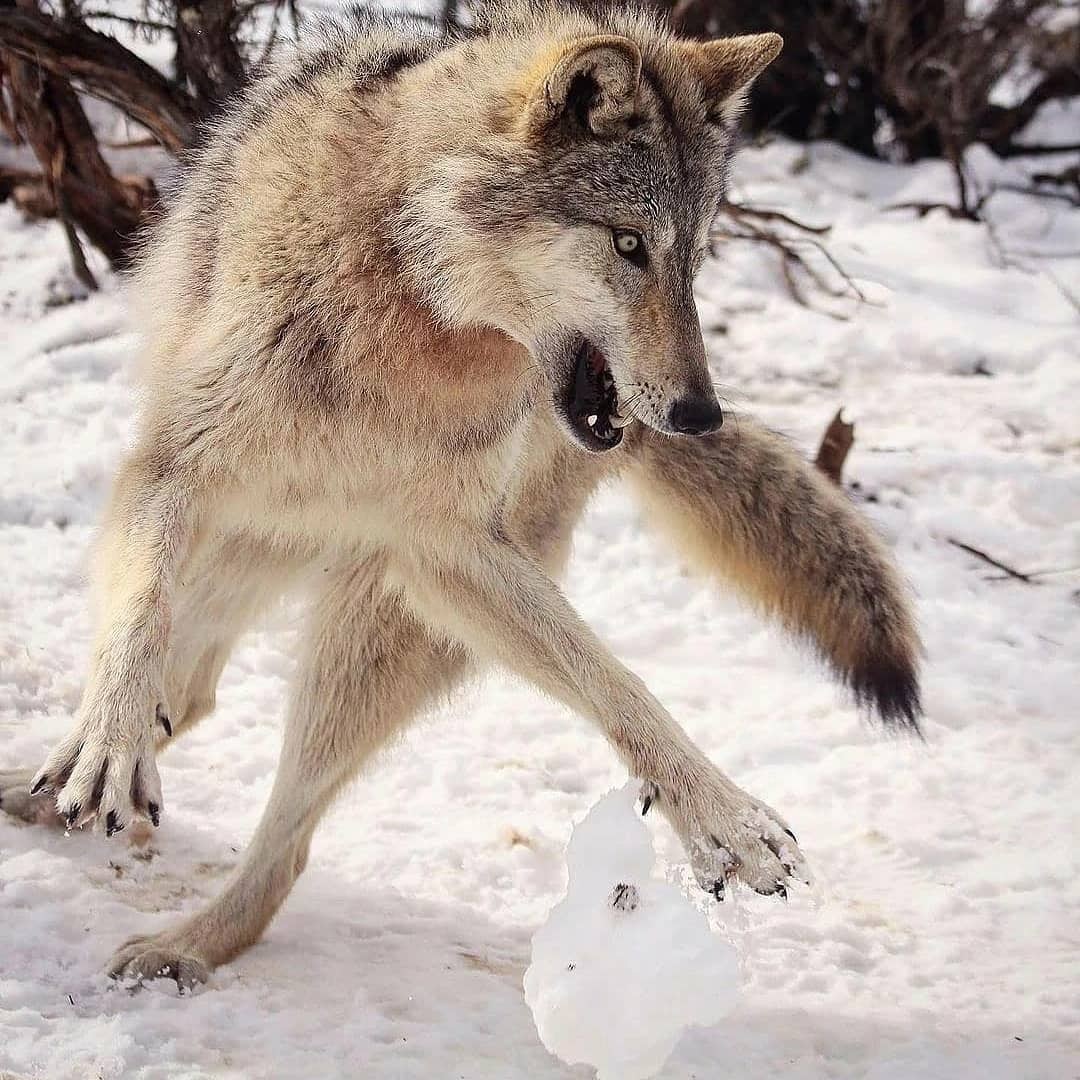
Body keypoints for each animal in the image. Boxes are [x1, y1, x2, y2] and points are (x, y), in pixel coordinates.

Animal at [0, 0, 920, 989]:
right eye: (629, 244)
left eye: (697, 261)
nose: (698, 415)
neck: (411, 300)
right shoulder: (171, 471)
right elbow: (134, 627)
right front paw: (105, 745)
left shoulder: (446, 552)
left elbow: (618, 682)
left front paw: (723, 819)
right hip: (243, 555)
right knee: (188, 686)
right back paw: (49, 787)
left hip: (371, 628)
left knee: (278, 825)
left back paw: (181, 943)